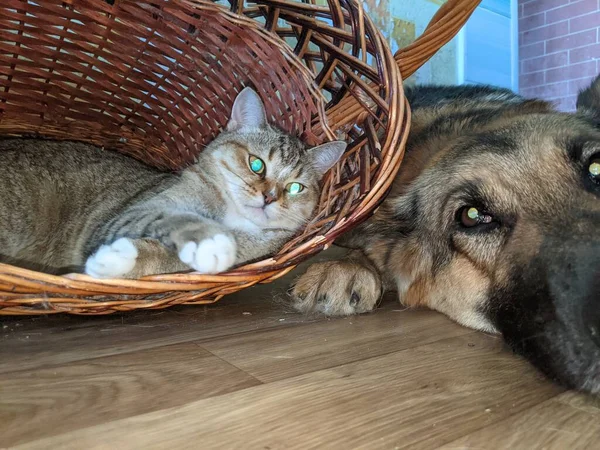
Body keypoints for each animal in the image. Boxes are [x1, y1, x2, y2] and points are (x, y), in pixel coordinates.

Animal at [0, 87, 346, 278]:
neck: (230, 217)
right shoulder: (131, 214)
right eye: (256, 163)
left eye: (295, 187)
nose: (270, 197)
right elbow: (175, 219)